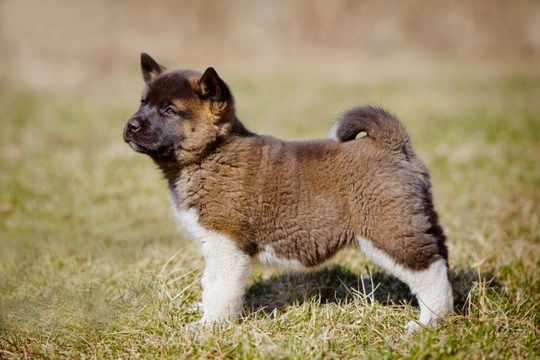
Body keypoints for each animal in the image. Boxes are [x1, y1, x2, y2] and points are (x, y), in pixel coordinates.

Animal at [124, 53, 454, 332]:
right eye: (142, 102)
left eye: (170, 110)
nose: (130, 125)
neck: (211, 154)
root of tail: (391, 143)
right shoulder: (213, 245)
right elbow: (209, 283)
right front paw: (205, 313)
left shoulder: (226, 245)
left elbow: (220, 289)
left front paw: (209, 326)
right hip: (416, 220)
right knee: (441, 259)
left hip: (388, 230)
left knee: (429, 272)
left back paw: (429, 323)